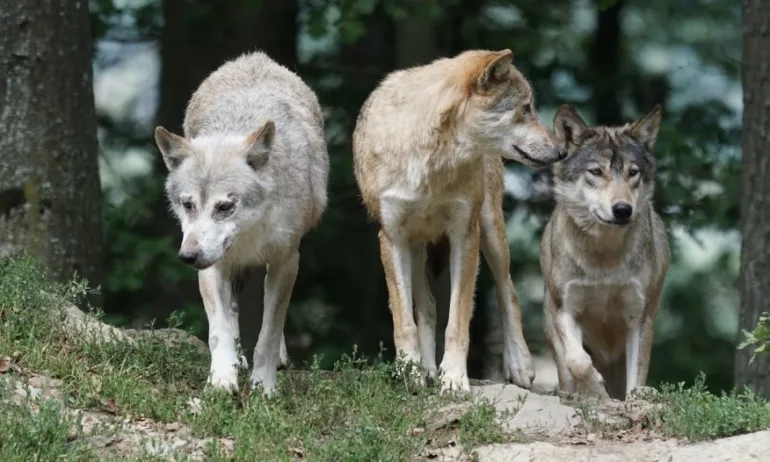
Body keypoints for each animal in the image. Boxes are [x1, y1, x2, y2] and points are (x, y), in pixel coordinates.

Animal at [152, 51, 328, 398]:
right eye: (188, 205)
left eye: (225, 207)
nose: (187, 257)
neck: (250, 234)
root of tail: (254, 57)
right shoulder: (212, 266)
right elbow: (219, 331)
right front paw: (222, 379)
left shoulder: (287, 261)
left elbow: (269, 333)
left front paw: (264, 387)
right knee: (232, 312)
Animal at [352, 48, 564, 392]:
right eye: (526, 108)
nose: (562, 151)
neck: (431, 161)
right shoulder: (392, 238)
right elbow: (404, 320)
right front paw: (410, 372)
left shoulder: (465, 234)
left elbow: (458, 320)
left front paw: (453, 378)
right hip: (416, 247)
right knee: (427, 306)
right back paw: (425, 370)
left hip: (491, 231)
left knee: (508, 291)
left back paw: (519, 364)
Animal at [536, 104, 668, 400]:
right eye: (596, 172)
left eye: (633, 172)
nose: (622, 210)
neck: (604, 258)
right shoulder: (566, 309)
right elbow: (578, 361)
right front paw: (596, 389)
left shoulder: (639, 318)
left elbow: (636, 379)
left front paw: (632, 398)